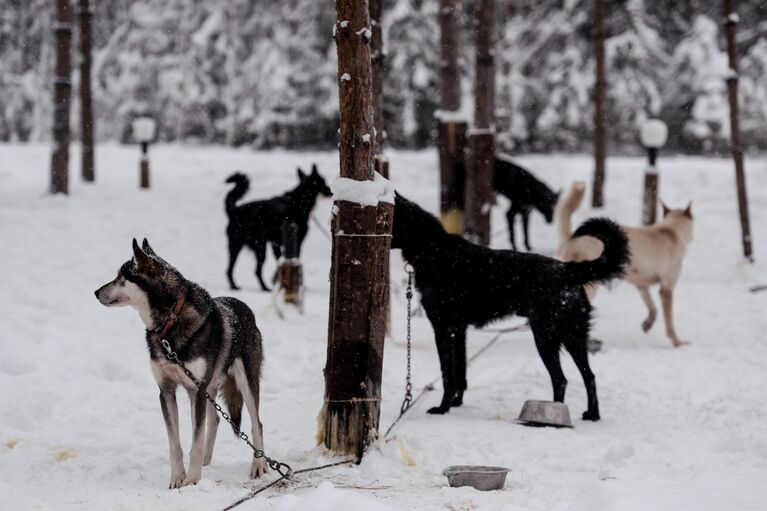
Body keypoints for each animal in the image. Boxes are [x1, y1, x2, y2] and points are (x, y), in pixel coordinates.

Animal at [95, 240, 268, 488]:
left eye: (121, 276)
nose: (96, 292)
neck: (169, 323)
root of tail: (243, 305)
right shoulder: (166, 391)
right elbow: (175, 444)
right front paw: (178, 477)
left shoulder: (196, 390)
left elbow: (195, 441)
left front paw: (193, 480)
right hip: (210, 389)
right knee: (215, 418)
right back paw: (207, 461)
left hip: (244, 382)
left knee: (257, 424)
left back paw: (259, 465)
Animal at [222, 164, 330, 292]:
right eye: (323, 181)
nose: (331, 192)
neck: (299, 200)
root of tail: (235, 210)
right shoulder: (297, 242)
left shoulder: (276, 244)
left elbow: (280, 261)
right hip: (260, 247)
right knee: (256, 271)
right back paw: (264, 288)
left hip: (235, 246)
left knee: (229, 269)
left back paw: (234, 286)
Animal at [390, 194, 632, 422]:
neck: (434, 250)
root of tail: (566, 269)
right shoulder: (459, 330)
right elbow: (461, 370)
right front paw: (456, 403)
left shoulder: (443, 328)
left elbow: (447, 374)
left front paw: (443, 408)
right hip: (573, 337)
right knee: (589, 376)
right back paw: (592, 415)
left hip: (545, 337)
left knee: (561, 379)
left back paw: (553, 415)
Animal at [560, 180, 696, 348]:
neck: (671, 230)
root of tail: (574, 237)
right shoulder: (667, 288)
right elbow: (669, 321)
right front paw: (677, 342)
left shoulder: (642, 285)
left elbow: (652, 308)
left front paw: (647, 324)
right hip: (588, 286)